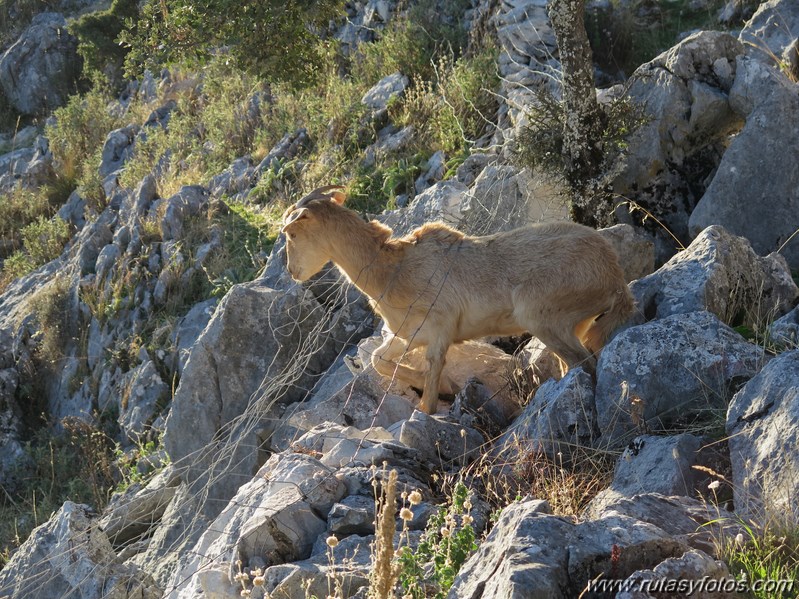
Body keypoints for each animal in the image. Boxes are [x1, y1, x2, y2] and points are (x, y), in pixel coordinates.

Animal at [282, 185, 636, 414]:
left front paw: (435, 395)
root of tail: (614, 277)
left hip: (541, 315)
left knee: (584, 362)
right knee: (573, 363)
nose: (292, 271)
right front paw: (441, 386)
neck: (393, 270)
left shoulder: (440, 328)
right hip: (572, 325)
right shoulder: (409, 334)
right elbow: (378, 360)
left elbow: (429, 387)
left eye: (292, 233)